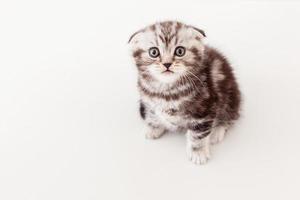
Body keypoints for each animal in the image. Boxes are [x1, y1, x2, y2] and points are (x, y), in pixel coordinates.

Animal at [127, 20, 240, 164]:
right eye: (154, 52)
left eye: (180, 51)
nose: (167, 64)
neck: (167, 90)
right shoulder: (148, 100)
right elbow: (153, 114)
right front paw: (154, 128)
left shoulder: (204, 109)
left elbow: (198, 134)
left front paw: (198, 152)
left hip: (231, 95)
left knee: (229, 114)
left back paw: (217, 131)